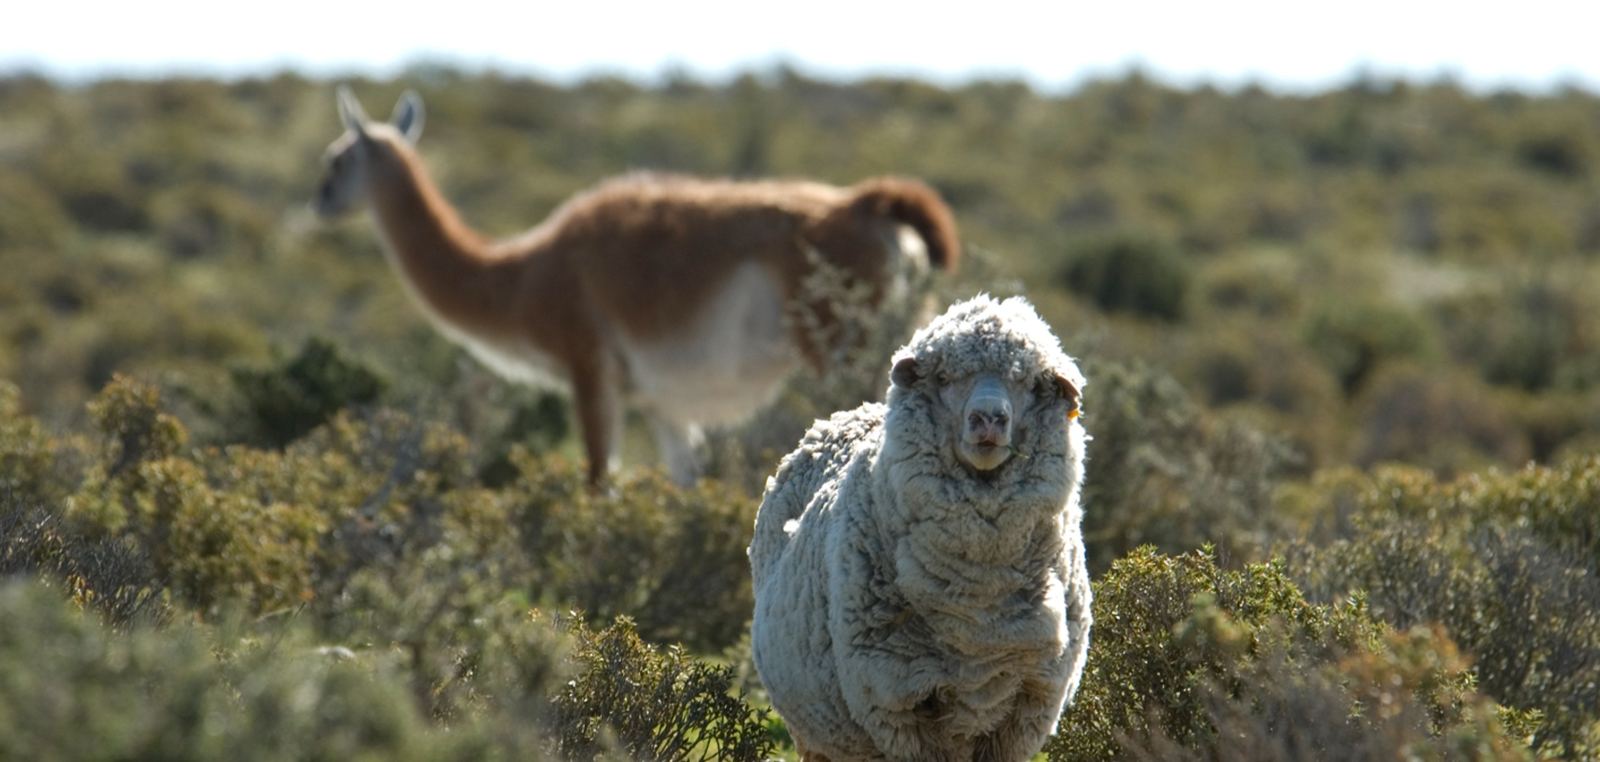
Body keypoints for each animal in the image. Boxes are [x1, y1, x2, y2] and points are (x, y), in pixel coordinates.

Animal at [312, 87, 959, 486]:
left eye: (336, 161)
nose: (318, 203)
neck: (521, 276)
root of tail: (867, 206)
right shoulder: (660, 401)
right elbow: (685, 487)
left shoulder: (588, 366)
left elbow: (599, 481)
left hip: (839, 347)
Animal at [748, 295, 1091, 761]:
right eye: (944, 378)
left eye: (1030, 383)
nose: (988, 418)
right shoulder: (897, 703)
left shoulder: (1028, 707)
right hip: (818, 735)